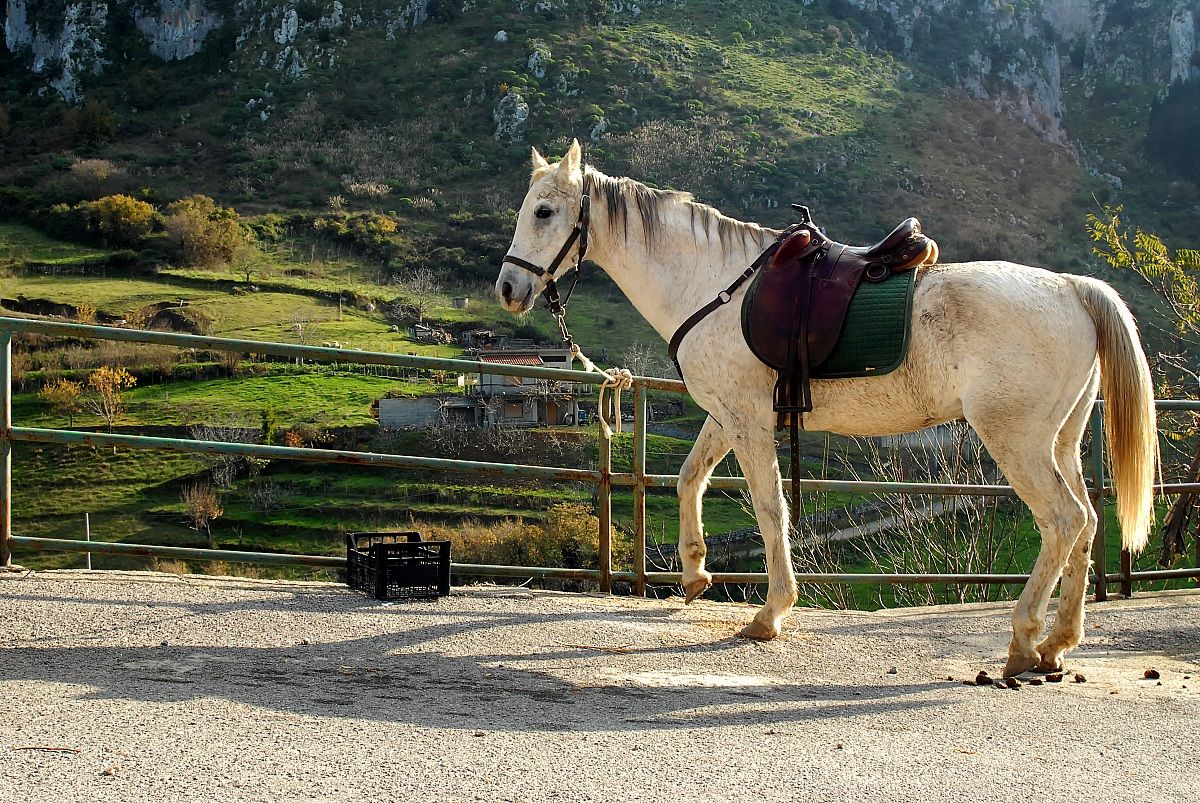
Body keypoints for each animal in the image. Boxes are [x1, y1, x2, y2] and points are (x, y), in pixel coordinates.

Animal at [495, 140, 1157, 677]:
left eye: (544, 211)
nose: (507, 288)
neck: (713, 284)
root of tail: (1072, 288)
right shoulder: (726, 414)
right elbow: (689, 479)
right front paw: (695, 574)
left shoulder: (748, 421)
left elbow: (769, 508)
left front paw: (771, 612)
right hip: (1061, 442)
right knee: (1086, 523)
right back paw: (1058, 643)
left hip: (1017, 442)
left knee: (1063, 521)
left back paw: (1023, 642)